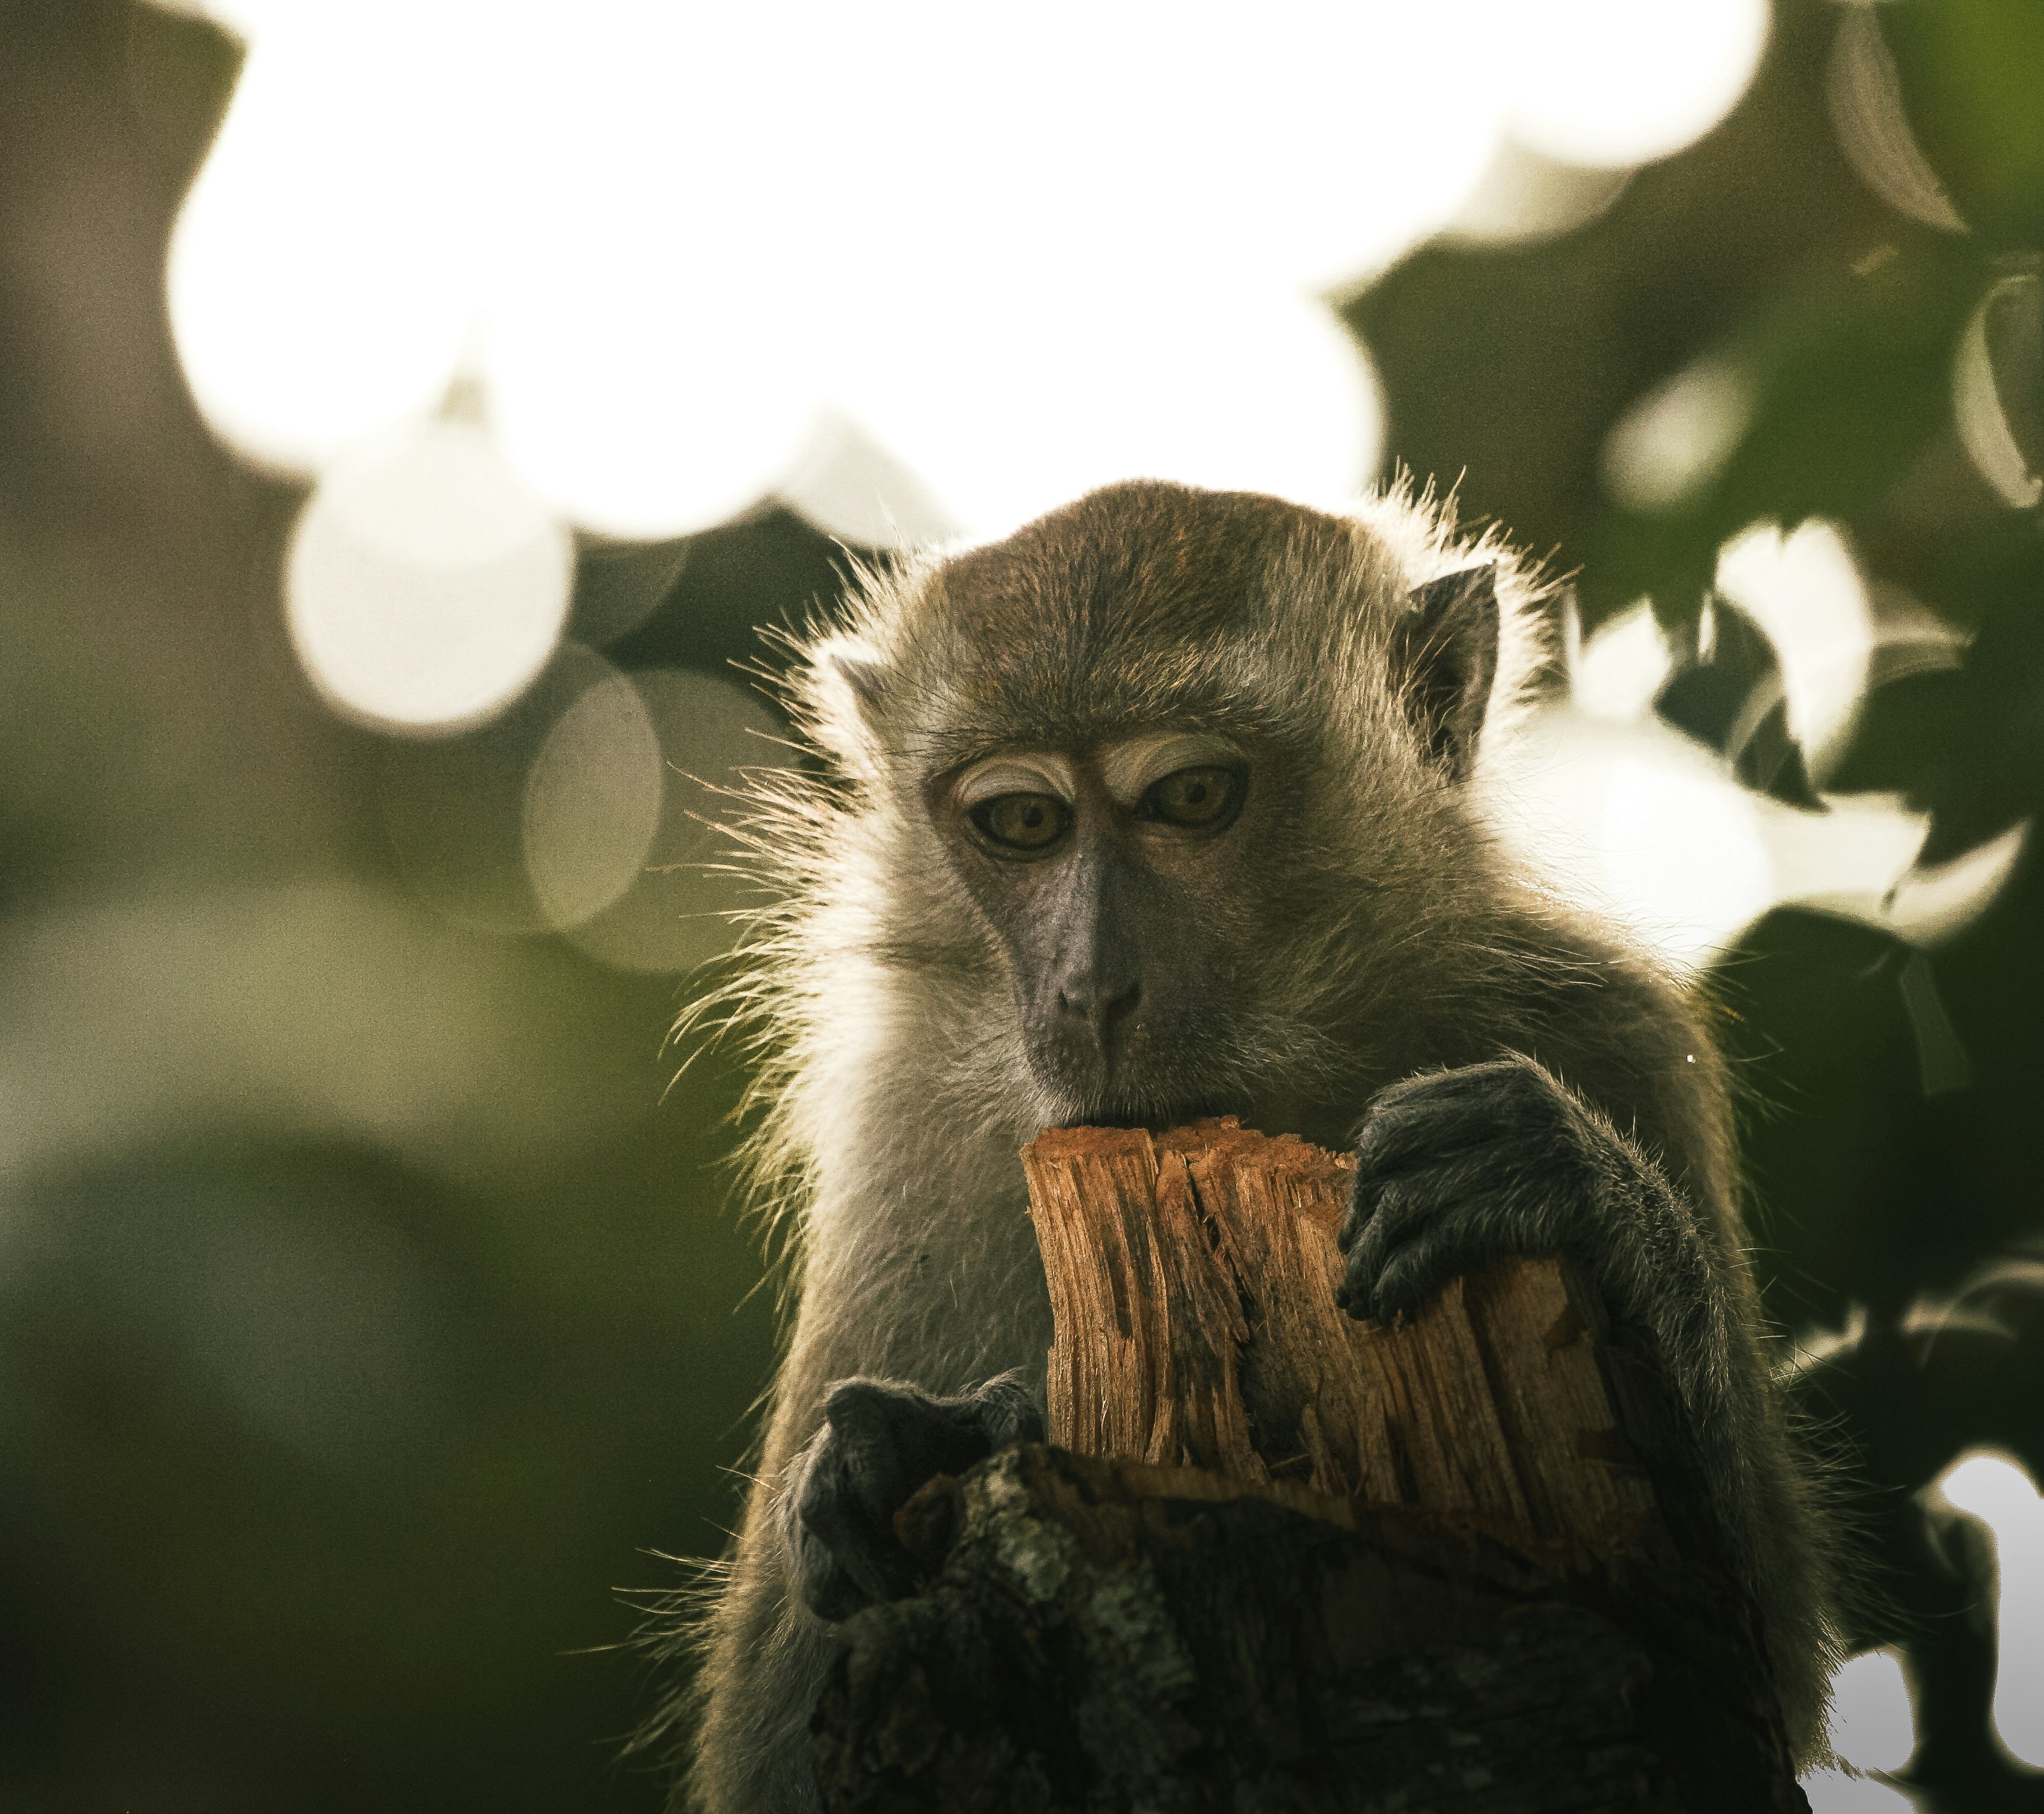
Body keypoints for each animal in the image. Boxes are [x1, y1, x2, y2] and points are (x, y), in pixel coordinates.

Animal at [665, 479, 1845, 1811]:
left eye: (1188, 797)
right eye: (1021, 819)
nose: (1088, 989)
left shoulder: (1611, 1027)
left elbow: (1752, 1651)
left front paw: (1568, 1185)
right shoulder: (901, 1127)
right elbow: (771, 1739)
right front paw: (910, 1449)